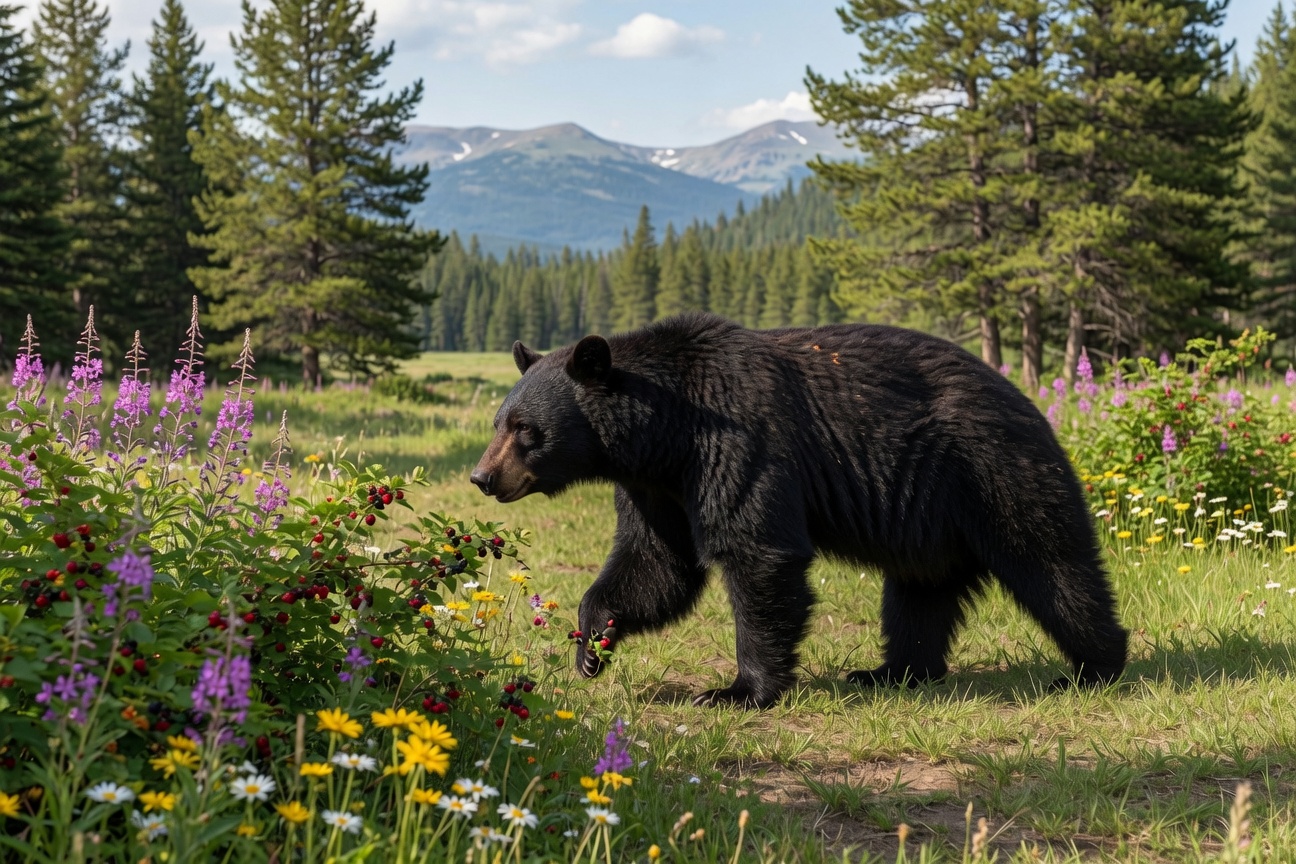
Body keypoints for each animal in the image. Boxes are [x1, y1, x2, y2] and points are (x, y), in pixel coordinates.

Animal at [470, 312, 1128, 709]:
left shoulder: (743, 444)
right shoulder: (658, 487)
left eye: (527, 430)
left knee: (1053, 565)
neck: (669, 432)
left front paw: (739, 690)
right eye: (500, 421)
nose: (482, 477)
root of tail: (1031, 402)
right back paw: (892, 671)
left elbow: (757, 551)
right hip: (930, 518)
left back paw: (1094, 666)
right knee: (919, 595)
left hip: (993, 472)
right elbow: (657, 563)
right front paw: (591, 647)